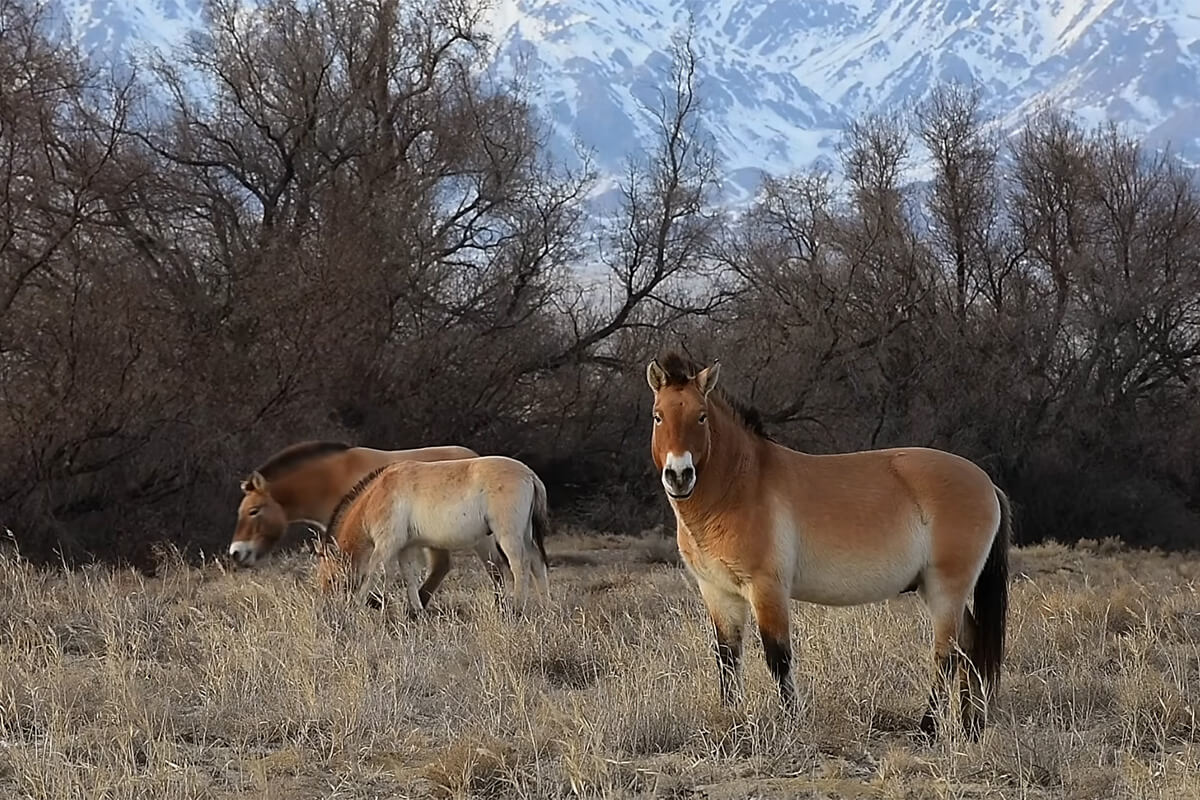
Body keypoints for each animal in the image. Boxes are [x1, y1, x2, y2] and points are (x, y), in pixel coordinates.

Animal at [314, 455, 551, 615]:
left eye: (331, 578)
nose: (326, 608)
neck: (376, 497)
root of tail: (530, 474)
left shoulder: (387, 545)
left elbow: (374, 574)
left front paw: (359, 605)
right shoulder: (406, 547)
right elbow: (409, 576)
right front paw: (416, 611)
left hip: (508, 534)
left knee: (520, 565)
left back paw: (518, 608)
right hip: (525, 534)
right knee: (537, 563)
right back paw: (544, 608)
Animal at [645, 352, 1010, 739]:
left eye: (700, 415)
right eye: (658, 415)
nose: (679, 476)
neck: (742, 483)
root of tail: (987, 483)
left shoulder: (767, 589)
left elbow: (778, 657)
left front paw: (792, 722)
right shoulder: (717, 592)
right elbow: (728, 658)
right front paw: (732, 718)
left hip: (946, 589)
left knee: (947, 653)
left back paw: (928, 728)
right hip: (936, 589)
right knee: (971, 645)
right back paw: (971, 726)